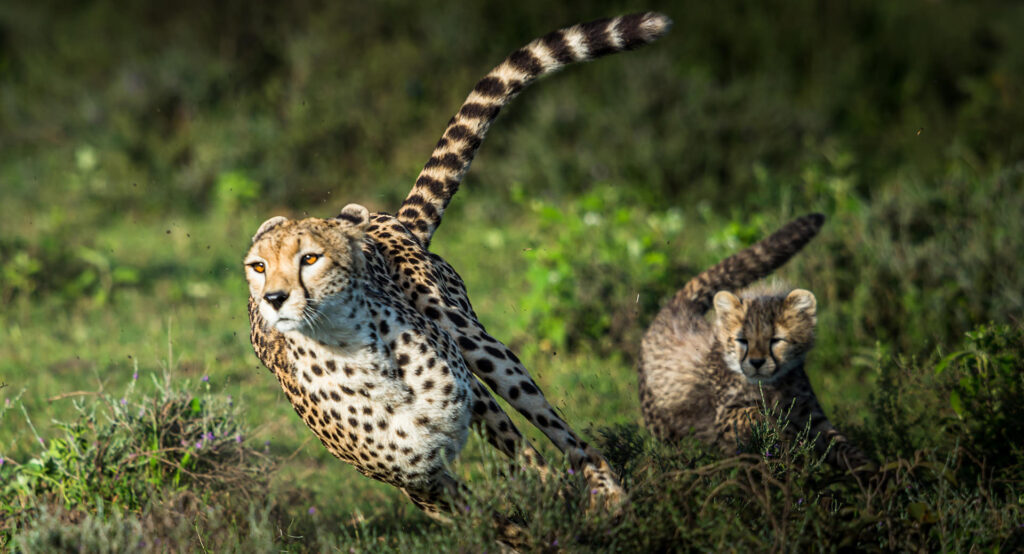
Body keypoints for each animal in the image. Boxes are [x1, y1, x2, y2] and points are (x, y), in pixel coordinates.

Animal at [244, 12, 671, 547]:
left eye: (310, 258)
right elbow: (490, 521)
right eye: (258, 266)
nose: (274, 298)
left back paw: (606, 493)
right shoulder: (419, 482)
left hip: (475, 344)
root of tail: (386, 218)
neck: (356, 356)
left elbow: (533, 469)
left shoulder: (473, 403)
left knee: (561, 433)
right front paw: (533, 534)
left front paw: (562, 514)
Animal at [638, 213, 875, 474]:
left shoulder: (810, 416)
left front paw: (873, 473)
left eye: (776, 340)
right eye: (742, 340)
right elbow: (756, 413)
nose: (757, 362)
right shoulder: (724, 417)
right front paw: (783, 434)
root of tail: (678, 308)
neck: (772, 385)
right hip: (662, 426)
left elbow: (840, 444)